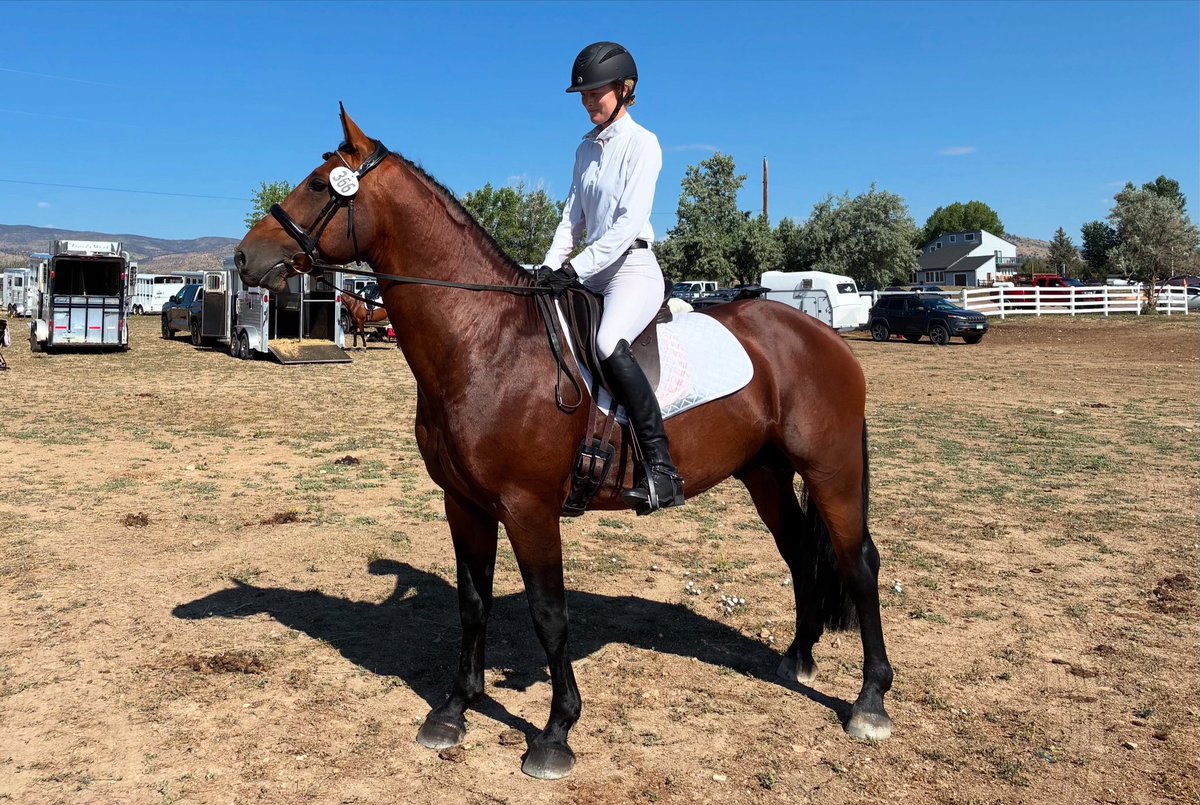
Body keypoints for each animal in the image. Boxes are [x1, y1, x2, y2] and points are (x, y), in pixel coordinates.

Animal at [234, 108, 893, 780]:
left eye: (320, 184)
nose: (243, 257)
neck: (485, 340)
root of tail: (822, 335)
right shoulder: (463, 504)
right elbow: (473, 603)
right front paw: (454, 709)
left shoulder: (529, 508)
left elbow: (549, 614)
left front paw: (555, 733)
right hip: (765, 473)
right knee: (799, 553)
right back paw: (798, 657)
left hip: (831, 470)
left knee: (858, 562)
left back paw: (869, 702)